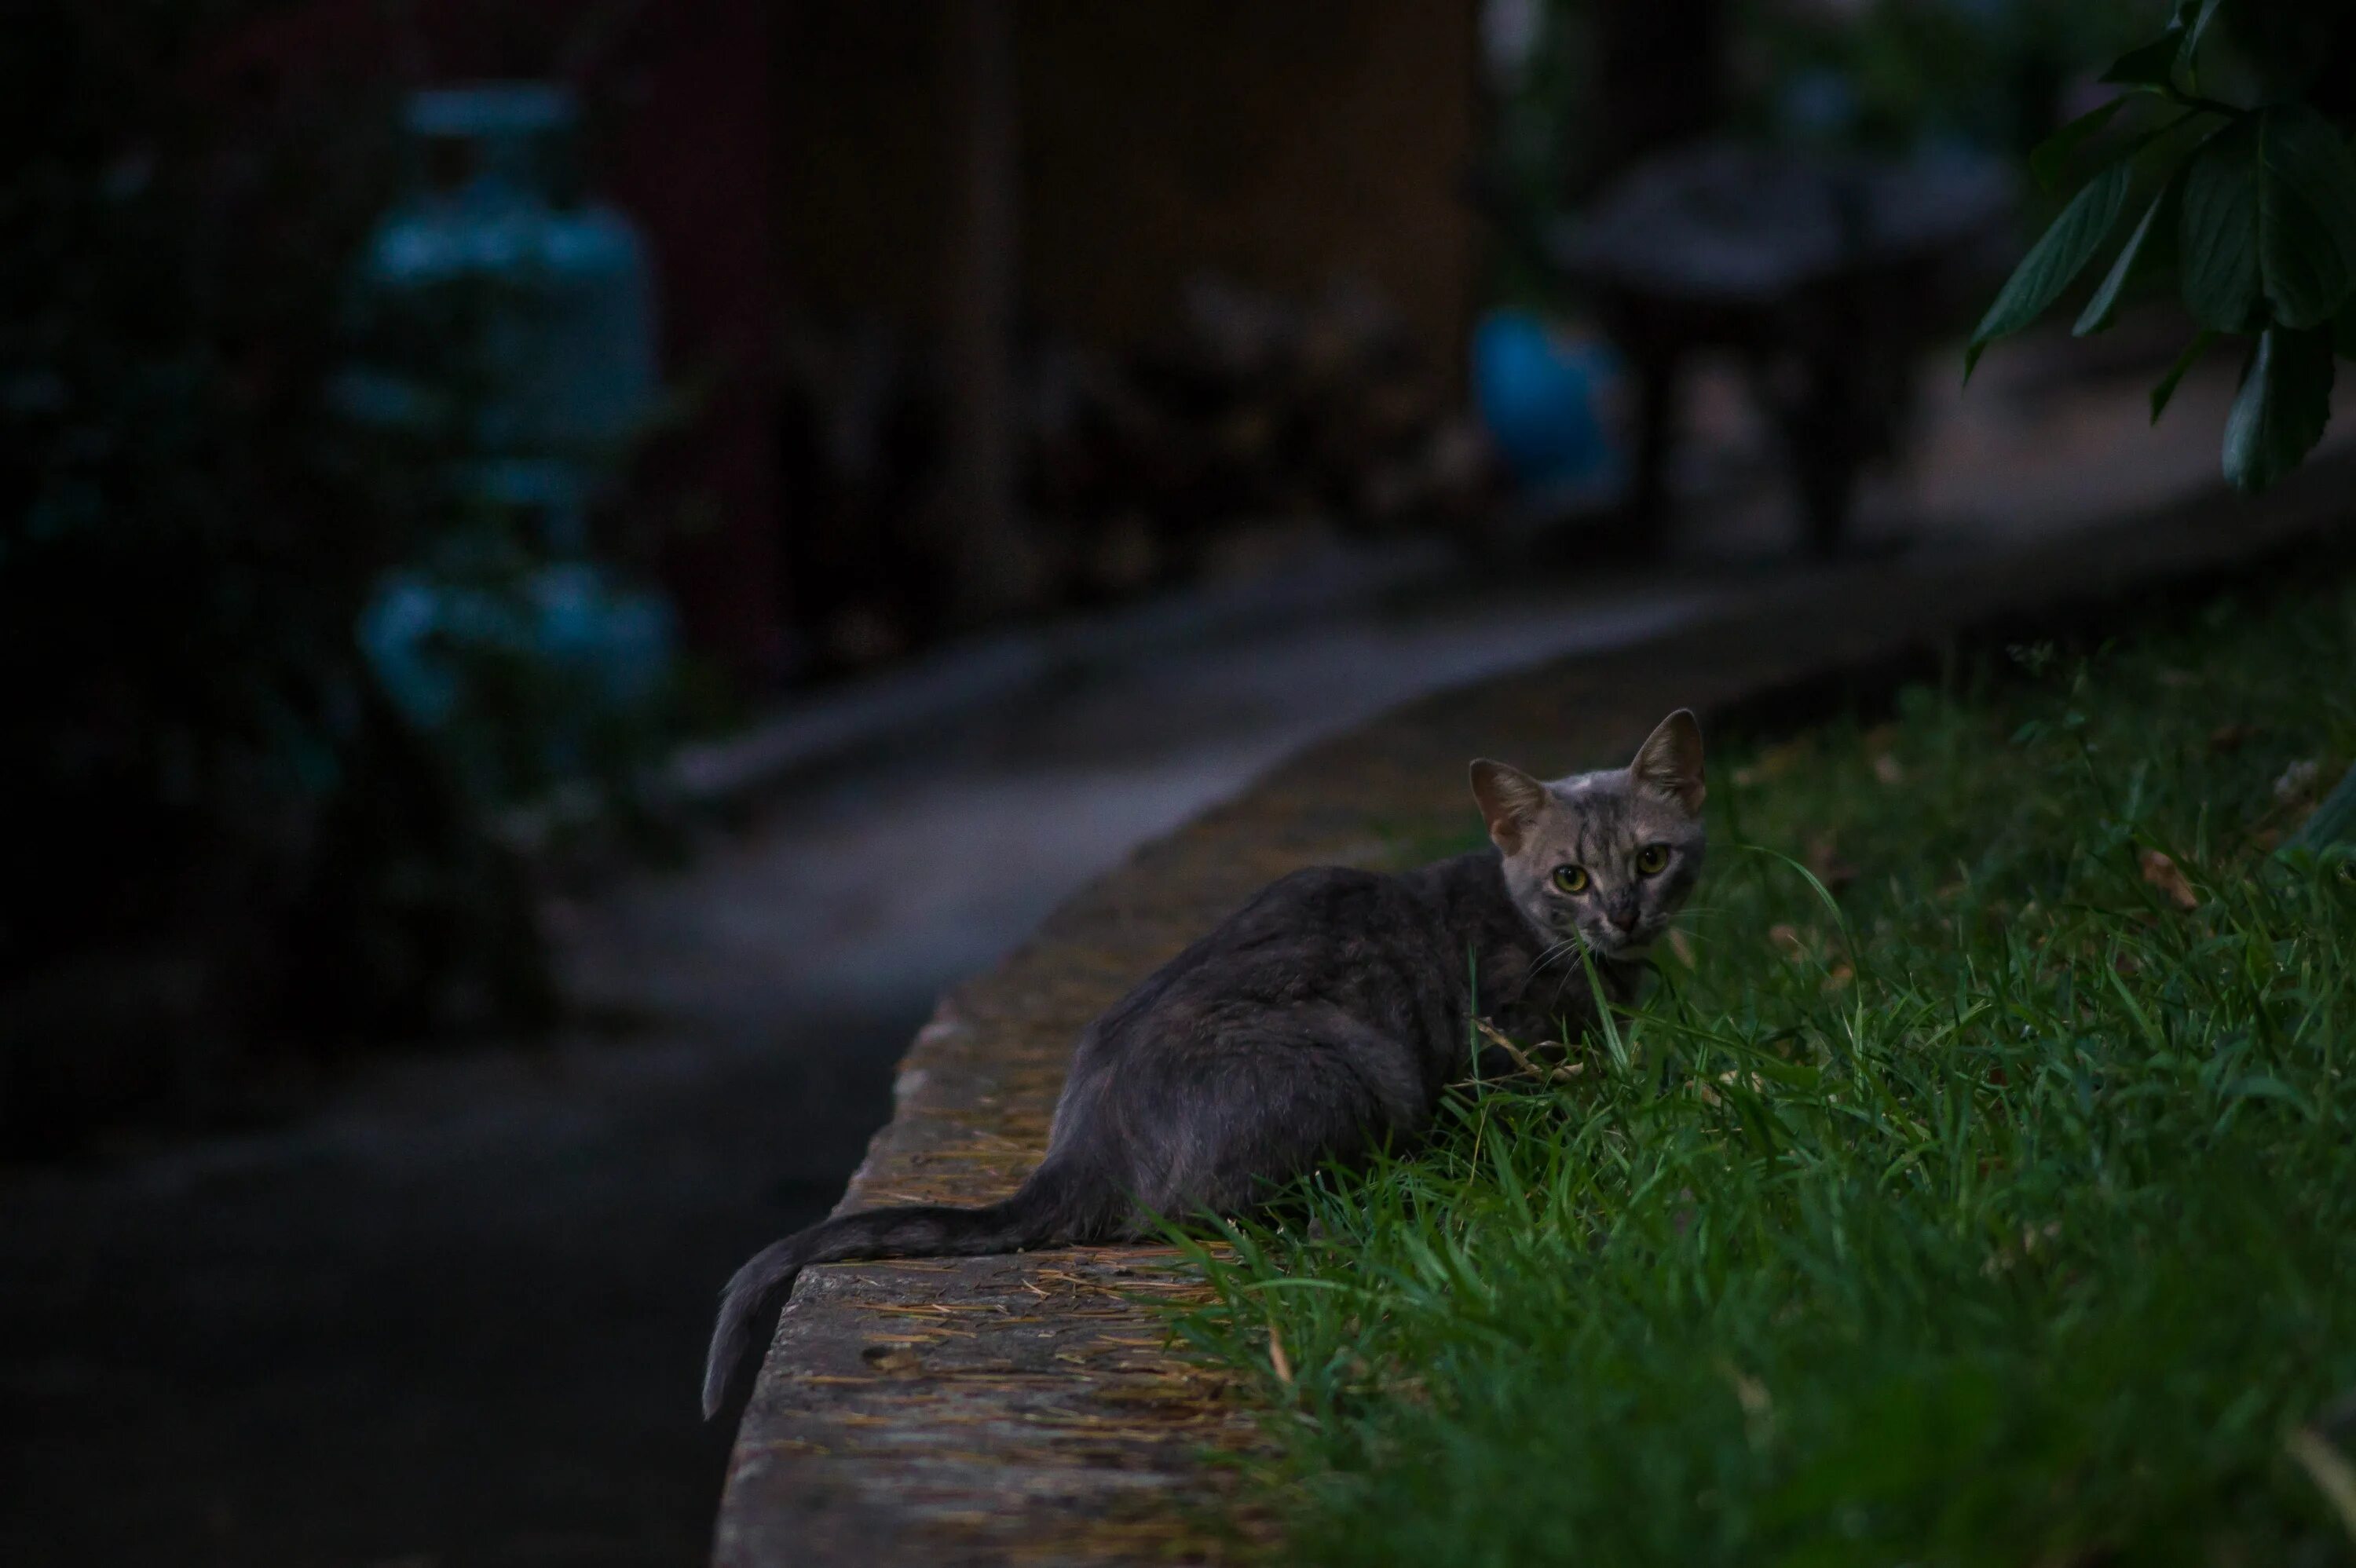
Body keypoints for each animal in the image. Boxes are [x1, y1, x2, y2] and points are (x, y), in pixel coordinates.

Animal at [702, 701, 1715, 1413]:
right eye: (1570, 876)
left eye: (1653, 857)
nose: (1623, 912)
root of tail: (1074, 1148)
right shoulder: (1505, 1048)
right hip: (1348, 1066)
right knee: (1216, 1209)